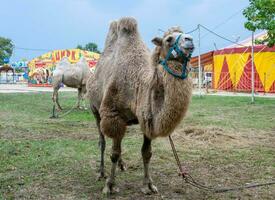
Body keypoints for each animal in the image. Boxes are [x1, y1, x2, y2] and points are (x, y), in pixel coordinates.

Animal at [87, 17, 195, 195]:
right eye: (168, 39)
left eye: (184, 33)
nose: (190, 40)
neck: (138, 84)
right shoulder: (113, 114)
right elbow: (114, 153)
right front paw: (110, 185)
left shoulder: (147, 118)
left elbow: (146, 153)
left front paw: (149, 185)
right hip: (95, 110)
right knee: (102, 141)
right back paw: (101, 173)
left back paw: (122, 165)